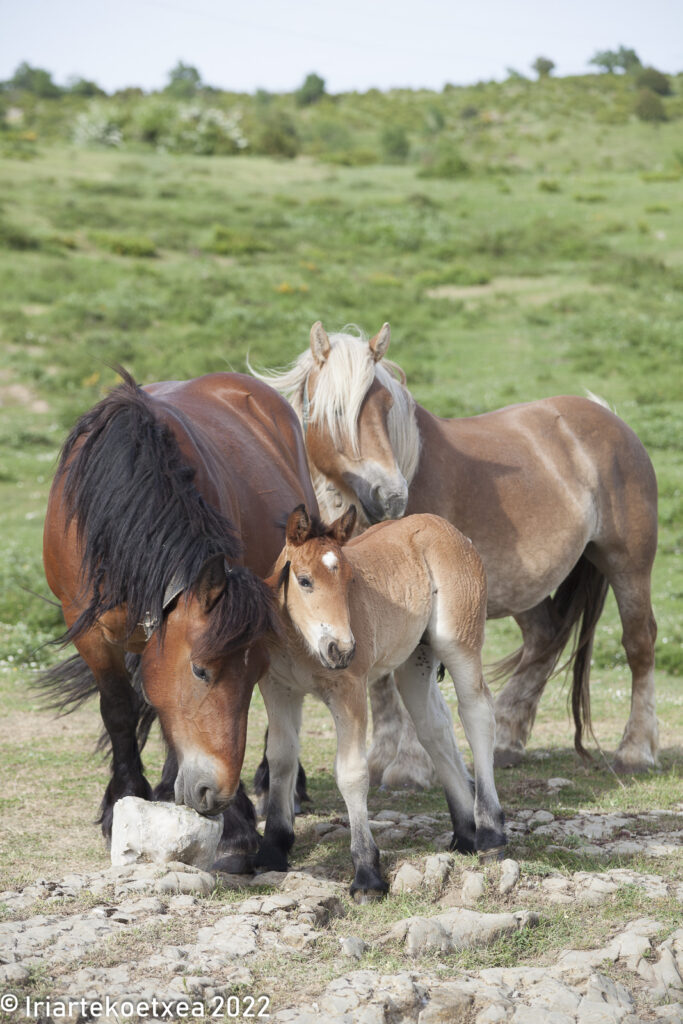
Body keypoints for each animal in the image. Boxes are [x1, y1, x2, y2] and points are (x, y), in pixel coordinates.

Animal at [41, 368, 317, 864]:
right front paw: (123, 801)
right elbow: (120, 710)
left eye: (250, 676)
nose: (217, 794)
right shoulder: (91, 633)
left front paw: (236, 824)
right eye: (200, 671)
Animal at [252, 319, 663, 774]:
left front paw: (409, 766)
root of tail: (611, 418)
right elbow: (380, 677)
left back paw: (636, 750)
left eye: (387, 408)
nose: (391, 496)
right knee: (545, 640)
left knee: (639, 642)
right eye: (339, 411)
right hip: (521, 586)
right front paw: (382, 757)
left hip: (627, 564)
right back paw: (506, 738)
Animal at [259, 503, 505, 897]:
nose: (342, 649)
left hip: (459, 641)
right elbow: (281, 760)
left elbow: (352, 773)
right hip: (414, 660)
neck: (300, 646)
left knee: (476, 713)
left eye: (350, 581)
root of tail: (449, 528)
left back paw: (490, 834)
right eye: (304, 580)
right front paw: (271, 849)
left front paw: (367, 874)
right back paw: (465, 833)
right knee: (433, 727)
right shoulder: (277, 690)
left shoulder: (349, 692)